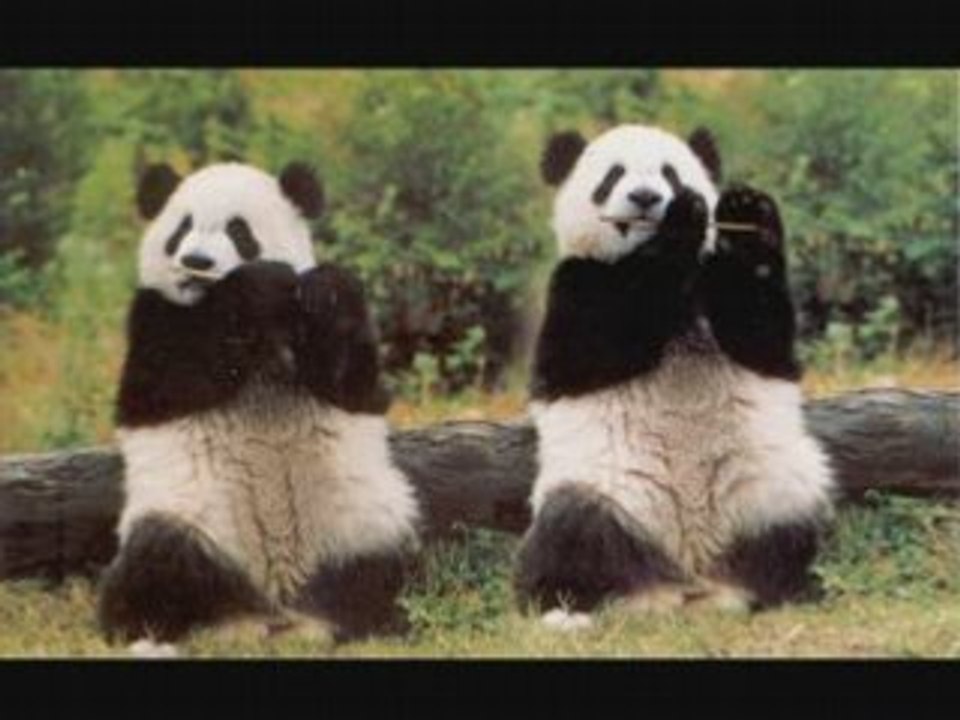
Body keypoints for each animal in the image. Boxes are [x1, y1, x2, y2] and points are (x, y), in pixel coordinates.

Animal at [97, 161, 421, 645]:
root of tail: (277, 611)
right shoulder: (153, 316)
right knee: (157, 558)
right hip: (196, 520)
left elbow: (354, 384)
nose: (196, 263)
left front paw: (325, 289)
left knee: (387, 566)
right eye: (181, 229)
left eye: (239, 231)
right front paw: (255, 287)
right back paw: (139, 626)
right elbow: (167, 382)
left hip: (361, 520)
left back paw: (381, 620)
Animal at [514, 124, 836, 622]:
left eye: (670, 172)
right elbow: (593, 345)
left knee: (792, 522)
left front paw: (744, 213)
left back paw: (790, 589)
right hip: (610, 493)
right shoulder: (575, 282)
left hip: (768, 487)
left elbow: (761, 338)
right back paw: (565, 607)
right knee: (569, 527)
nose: (647, 197)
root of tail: (691, 582)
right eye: (613, 175)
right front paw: (681, 222)